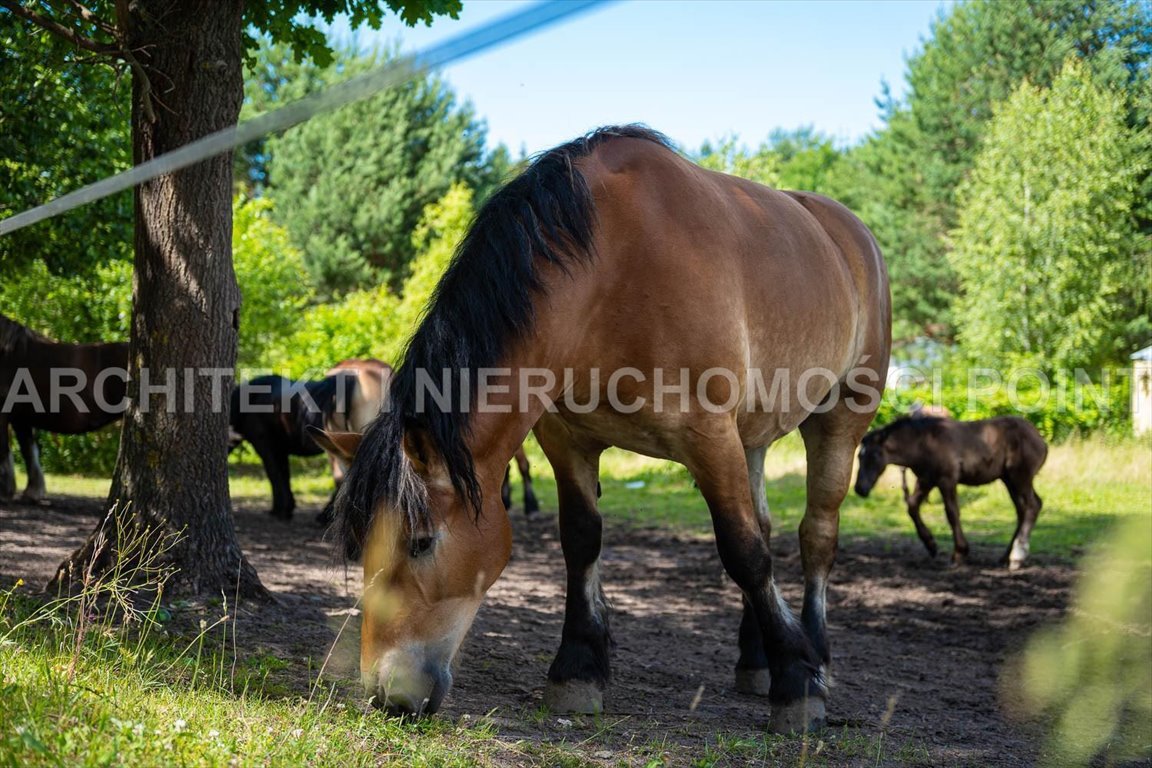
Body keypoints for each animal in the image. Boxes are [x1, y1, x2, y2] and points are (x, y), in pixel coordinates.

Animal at [324, 126, 889, 732]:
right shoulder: (567, 439)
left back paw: (815, 655)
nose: (387, 695)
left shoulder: (709, 438)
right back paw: (755, 659)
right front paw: (578, 668)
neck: (615, 271)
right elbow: (582, 541)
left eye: (422, 542)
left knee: (816, 535)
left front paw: (797, 682)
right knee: (764, 521)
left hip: (841, 418)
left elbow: (744, 552)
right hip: (753, 437)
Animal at [852, 414, 1050, 571]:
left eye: (875, 455)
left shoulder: (946, 480)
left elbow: (952, 513)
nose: (860, 489)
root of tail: (1040, 439)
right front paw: (931, 545)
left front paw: (959, 554)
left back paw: (1017, 557)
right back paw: (1004, 557)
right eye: (859, 456)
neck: (924, 443)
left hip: (1020, 477)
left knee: (1033, 506)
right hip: (1009, 480)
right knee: (1022, 511)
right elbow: (912, 506)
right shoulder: (926, 480)